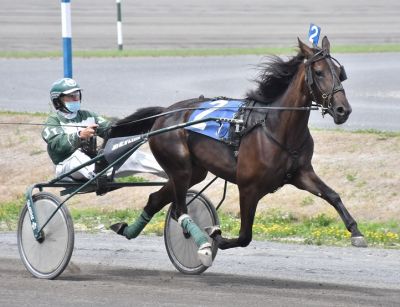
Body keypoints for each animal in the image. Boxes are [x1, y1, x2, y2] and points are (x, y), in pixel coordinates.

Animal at [108, 36, 368, 268]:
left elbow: (333, 195)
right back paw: (202, 244)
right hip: (179, 166)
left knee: (156, 198)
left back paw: (126, 229)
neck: (276, 127)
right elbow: (244, 236)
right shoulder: (248, 187)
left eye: (340, 72)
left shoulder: (301, 174)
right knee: (179, 210)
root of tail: (164, 114)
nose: (343, 110)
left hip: (193, 172)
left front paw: (356, 232)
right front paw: (215, 236)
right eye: (320, 72)